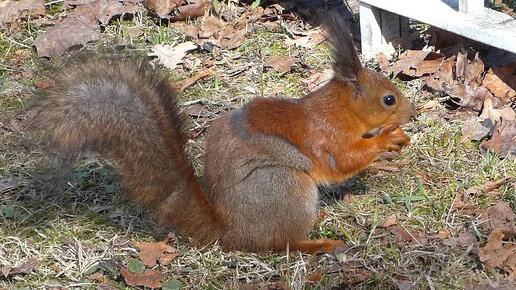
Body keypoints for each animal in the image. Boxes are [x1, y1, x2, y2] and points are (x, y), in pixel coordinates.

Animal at [33, 14, 416, 253]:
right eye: (389, 99)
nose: (411, 113)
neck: (340, 110)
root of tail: (233, 233)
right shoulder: (325, 136)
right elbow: (344, 161)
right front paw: (387, 139)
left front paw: (399, 138)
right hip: (284, 185)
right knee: (280, 244)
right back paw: (318, 243)